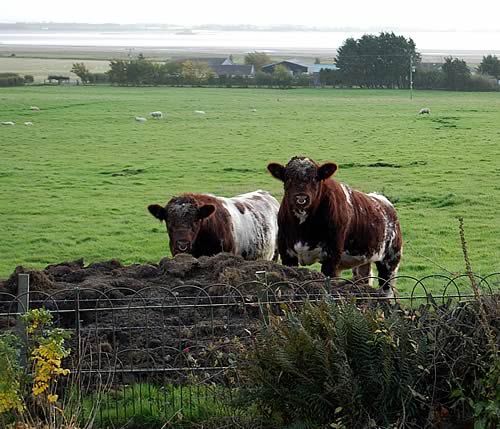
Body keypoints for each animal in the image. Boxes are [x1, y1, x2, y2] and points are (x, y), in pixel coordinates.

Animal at [266, 156, 402, 294]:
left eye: (315, 178)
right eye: (288, 177)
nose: (301, 198)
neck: (302, 228)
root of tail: (384, 202)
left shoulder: (332, 257)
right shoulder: (287, 254)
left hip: (391, 259)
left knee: (388, 288)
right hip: (365, 259)